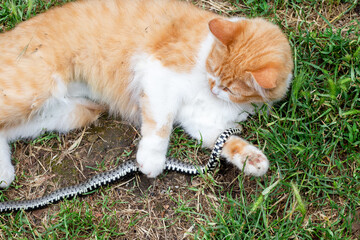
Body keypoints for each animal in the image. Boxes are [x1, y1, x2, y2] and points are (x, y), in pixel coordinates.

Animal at [0, 0, 292, 188]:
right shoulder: (158, 75)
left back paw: (4, 172)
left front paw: (252, 160)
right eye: (212, 69)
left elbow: (224, 140)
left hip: (65, 114)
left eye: (229, 88)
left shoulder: (200, 120)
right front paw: (151, 159)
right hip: (33, 90)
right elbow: (160, 125)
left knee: (6, 131)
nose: (214, 88)